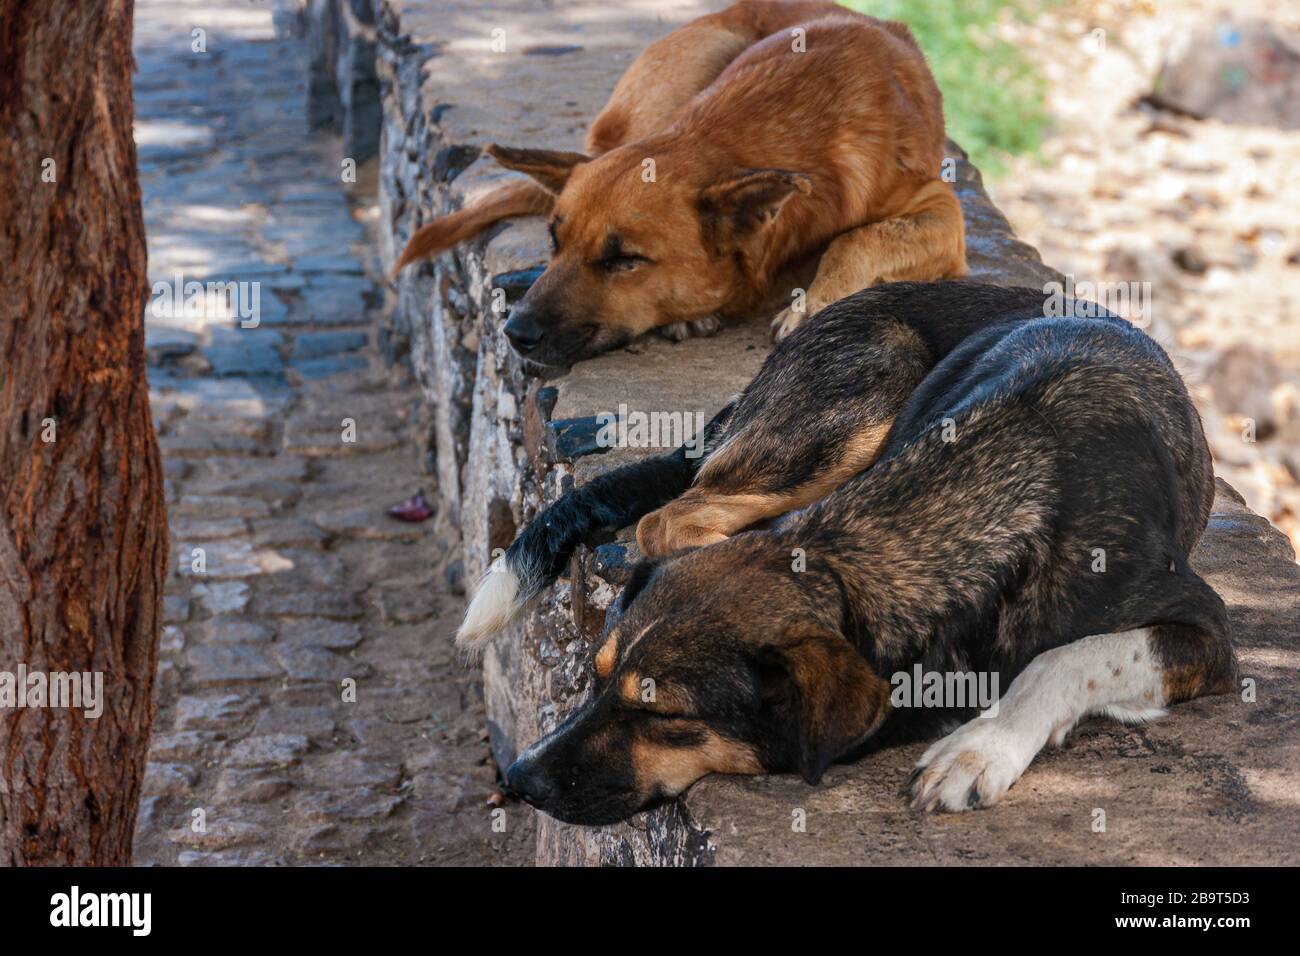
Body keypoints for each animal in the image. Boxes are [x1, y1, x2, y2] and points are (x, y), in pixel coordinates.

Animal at [392, 0, 967, 369]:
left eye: (625, 260)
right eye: (553, 241)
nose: (515, 333)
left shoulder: (943, 210)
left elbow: (856, 238)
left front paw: (814, 301)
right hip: (696, 61)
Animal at [462, 282, 1232, 822]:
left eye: (665, 717)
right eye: (593, 680)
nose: (519, 780)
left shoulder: (1205, 632)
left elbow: (1060, 660)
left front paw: (980, 747)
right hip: (858, 400)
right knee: (673, 516)